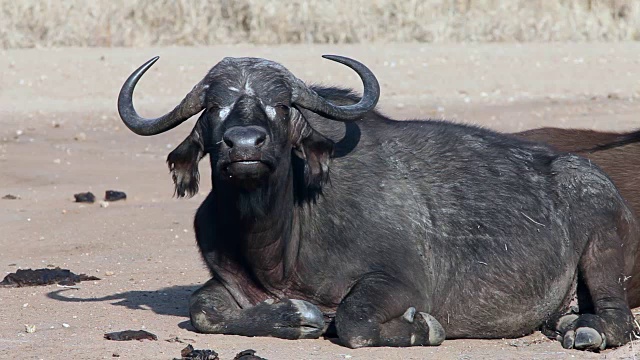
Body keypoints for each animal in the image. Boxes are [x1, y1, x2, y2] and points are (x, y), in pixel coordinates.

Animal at [117, 54, 636, 350]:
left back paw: (586, 329)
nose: (244, 144)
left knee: (616, 316)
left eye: (281, 107)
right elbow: (202, 308)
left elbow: (353, 321)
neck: (280, 243)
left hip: (603, 241)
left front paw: (420, 329)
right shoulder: (226, 278)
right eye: (213, 108)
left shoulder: (400, 282)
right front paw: (293, 317)